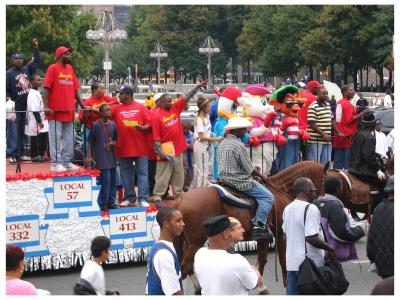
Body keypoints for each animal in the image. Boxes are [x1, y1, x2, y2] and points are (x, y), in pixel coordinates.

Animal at [169, 161, 328, 292]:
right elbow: (283, 260)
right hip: (196, 241)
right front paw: (285, 283)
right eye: (325, 178)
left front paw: (260, 285)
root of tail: (181, 198)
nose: (320, 198)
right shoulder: (281, 234)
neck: (280, 190)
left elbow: (262, 259)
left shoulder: (264, 237)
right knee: (184, 267)